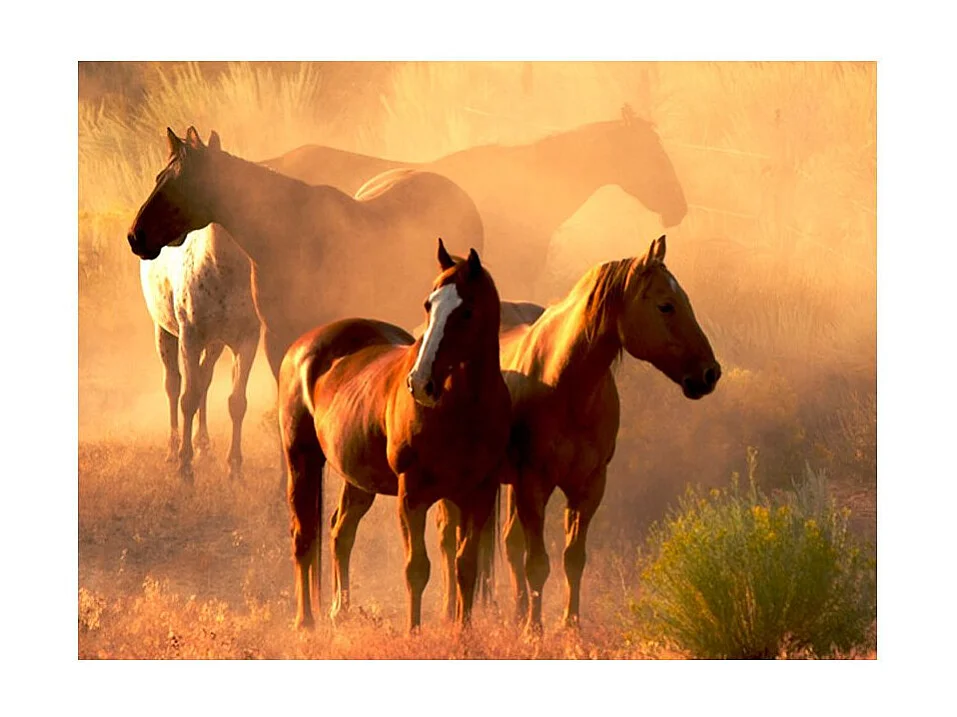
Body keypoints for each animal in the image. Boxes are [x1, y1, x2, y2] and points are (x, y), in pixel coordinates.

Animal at [127, 127, 485, 386]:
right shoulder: (275, 340)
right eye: (159, 178)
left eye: (179, 185)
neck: (287, 238)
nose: (135, 236)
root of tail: (462, 194)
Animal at [139, 223, 260, 481]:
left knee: (204, 380)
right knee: (173, 385)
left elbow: (237, 402)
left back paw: (203, 445)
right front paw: (184, 466)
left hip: (214, 345)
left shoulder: (247, 340)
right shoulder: (190, 338)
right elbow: (188, 399)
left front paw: (234, 467)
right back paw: (172, 449)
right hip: (164, 333)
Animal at [277, 239, 510, 632]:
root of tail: (302, 347)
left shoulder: (477, 494)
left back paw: (340, 610)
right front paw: (413, 633)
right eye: (429, 305)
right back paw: (304, 621)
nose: (420, 383)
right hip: (301, 460)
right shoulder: (411, 495)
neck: (462, 408)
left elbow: (465, 566)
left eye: (466, 311)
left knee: (340, 532)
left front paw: (462, 633)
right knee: (303, 536)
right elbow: (417, 568)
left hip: (358, 480)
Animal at [433, 235, 721, 634]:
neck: (565, 383)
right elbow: (538, 562)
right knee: (449, 541)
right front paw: (534, 632)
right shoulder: (534, 484)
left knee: (509, 543)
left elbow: (573, 559)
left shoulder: (588, 486)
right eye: (666, 305)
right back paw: (450, 613)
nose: (710, 373)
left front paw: (570, 627)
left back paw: (517, 612)